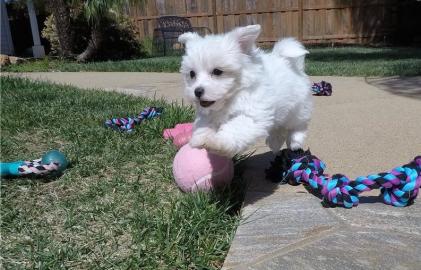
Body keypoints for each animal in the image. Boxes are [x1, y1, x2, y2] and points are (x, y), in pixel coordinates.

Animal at [177, 25, 312, 158]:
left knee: (298, 125)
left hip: (298, 109)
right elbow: (203, 124)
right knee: (278, 127)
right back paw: (275, 142)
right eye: (192, 74)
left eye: (217, 72)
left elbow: (236, 128)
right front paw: (200, 138)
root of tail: (290, 64)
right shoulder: (208, 113)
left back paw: (295, 142)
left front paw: (218, 142)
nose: (197, 91)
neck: (232, 97)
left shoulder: (251, 114)